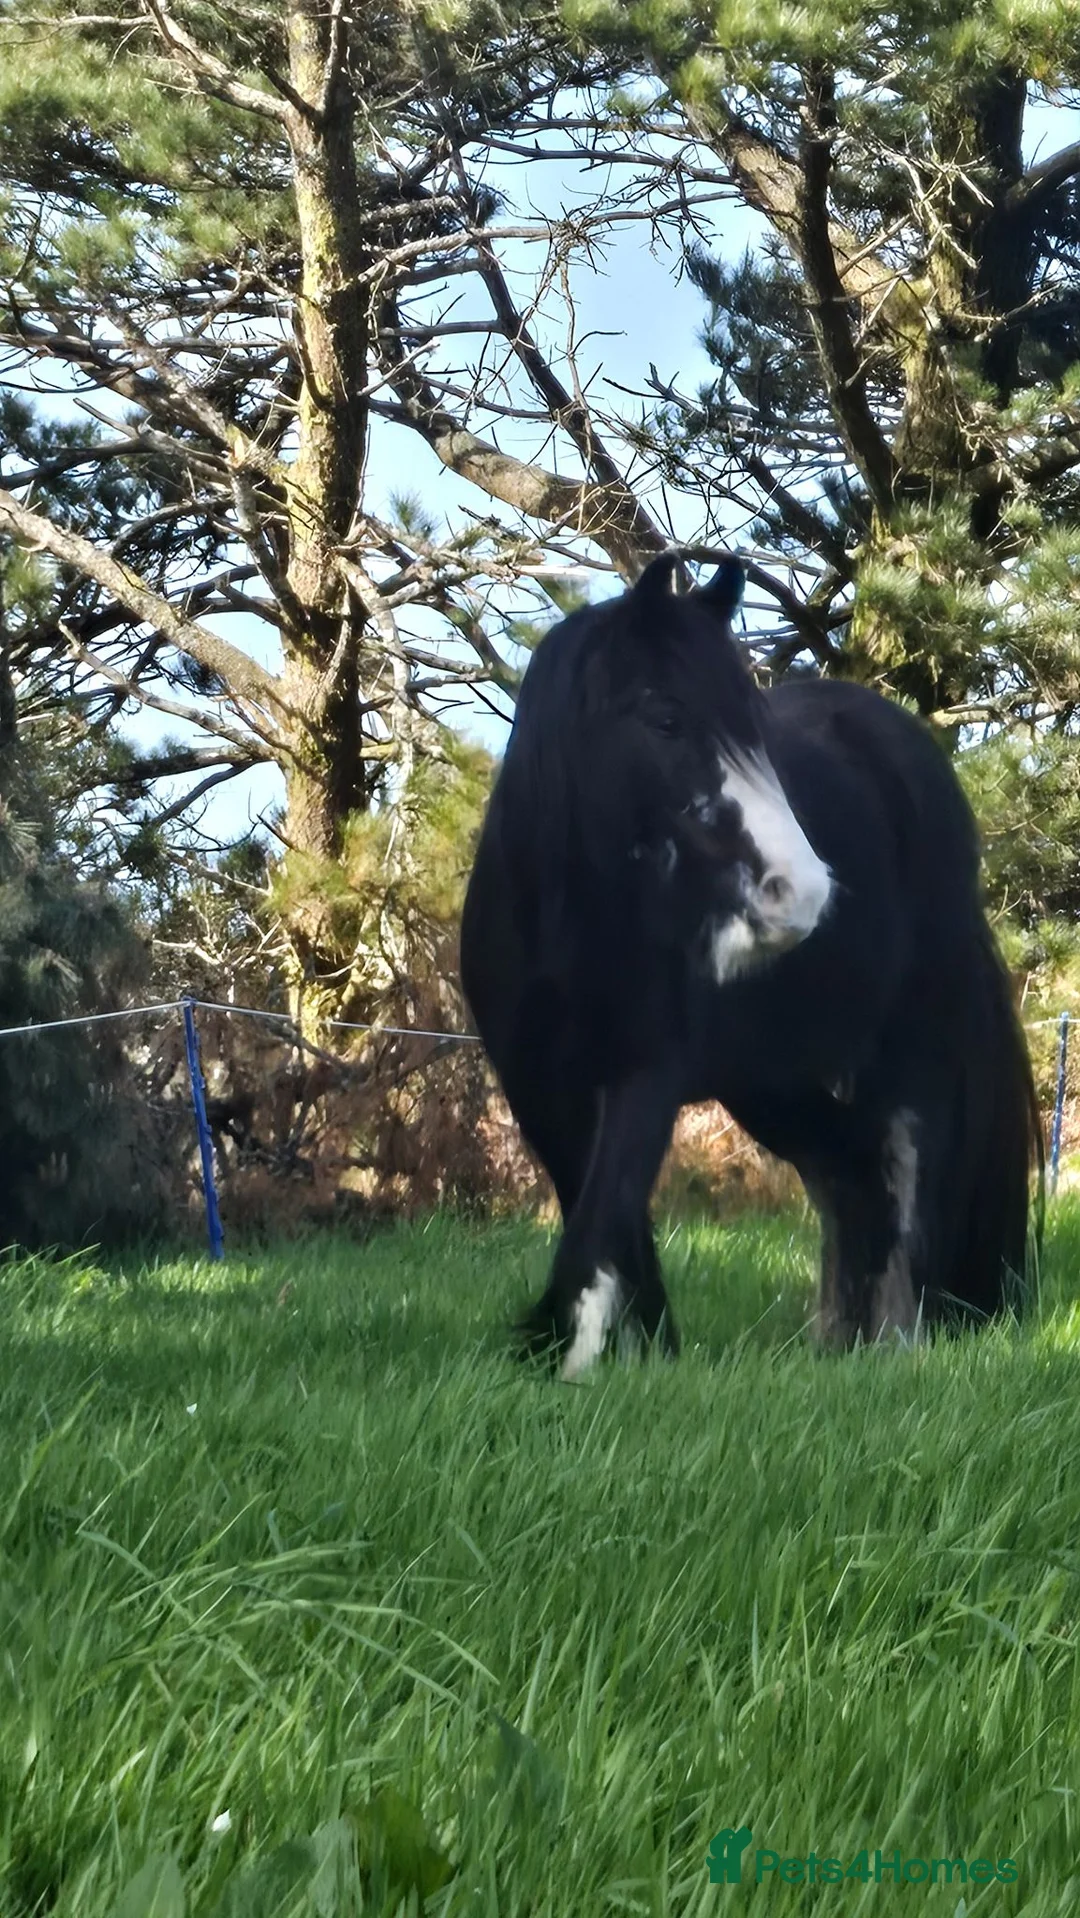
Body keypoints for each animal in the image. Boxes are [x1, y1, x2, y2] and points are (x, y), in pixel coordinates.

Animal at [460, 553, 1043, 1377]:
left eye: (755, 734)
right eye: (666, 720)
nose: (800, 893)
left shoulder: (647, 1073)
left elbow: (605, 1209)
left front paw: (577, 1361)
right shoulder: (537, 1087)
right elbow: (601, 1215)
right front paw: (634, 1352)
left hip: (911, 1052)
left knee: (905, 1172)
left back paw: (899, 1345)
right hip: (773, 1082)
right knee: (847, 1175)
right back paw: (841, 1342)